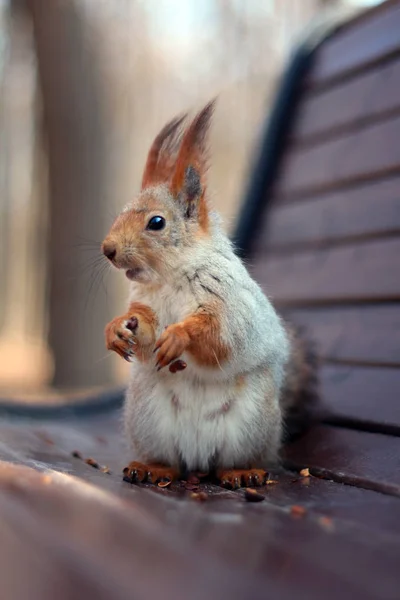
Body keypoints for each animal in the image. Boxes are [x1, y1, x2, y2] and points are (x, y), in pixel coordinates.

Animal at [101, 101, 318, 490]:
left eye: (156, 223)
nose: (107, 250)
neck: (169, 277)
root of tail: (198, 456)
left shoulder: (229, 301)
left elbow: (219, 333)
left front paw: (179, 336)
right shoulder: (146, 302)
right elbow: (142, 325)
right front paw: (116, 329)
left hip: (252, 421)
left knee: (230, 463)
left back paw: (242, 472)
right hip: (147, 417)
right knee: (171, 462)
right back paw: (152, 468)